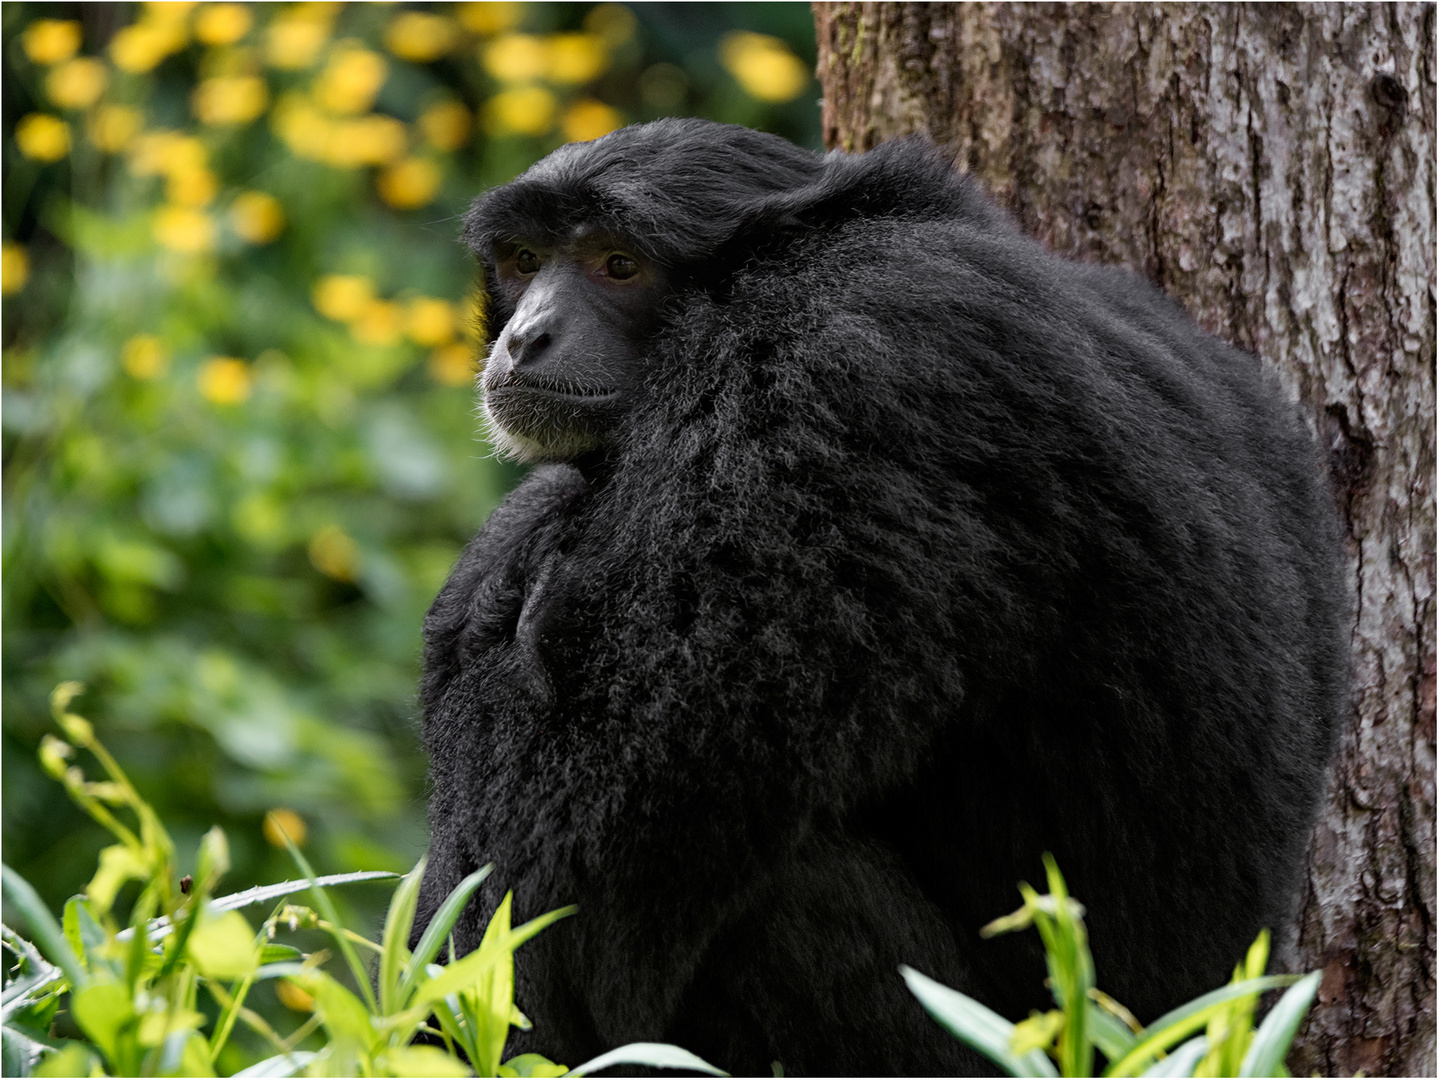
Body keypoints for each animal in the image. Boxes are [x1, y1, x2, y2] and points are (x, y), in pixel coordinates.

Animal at [413, 118, 1347, 1076]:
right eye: (526, 261)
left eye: (617, 265)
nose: (527, 336)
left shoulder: (828, 381)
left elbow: (563, 904)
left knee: (778, 892)